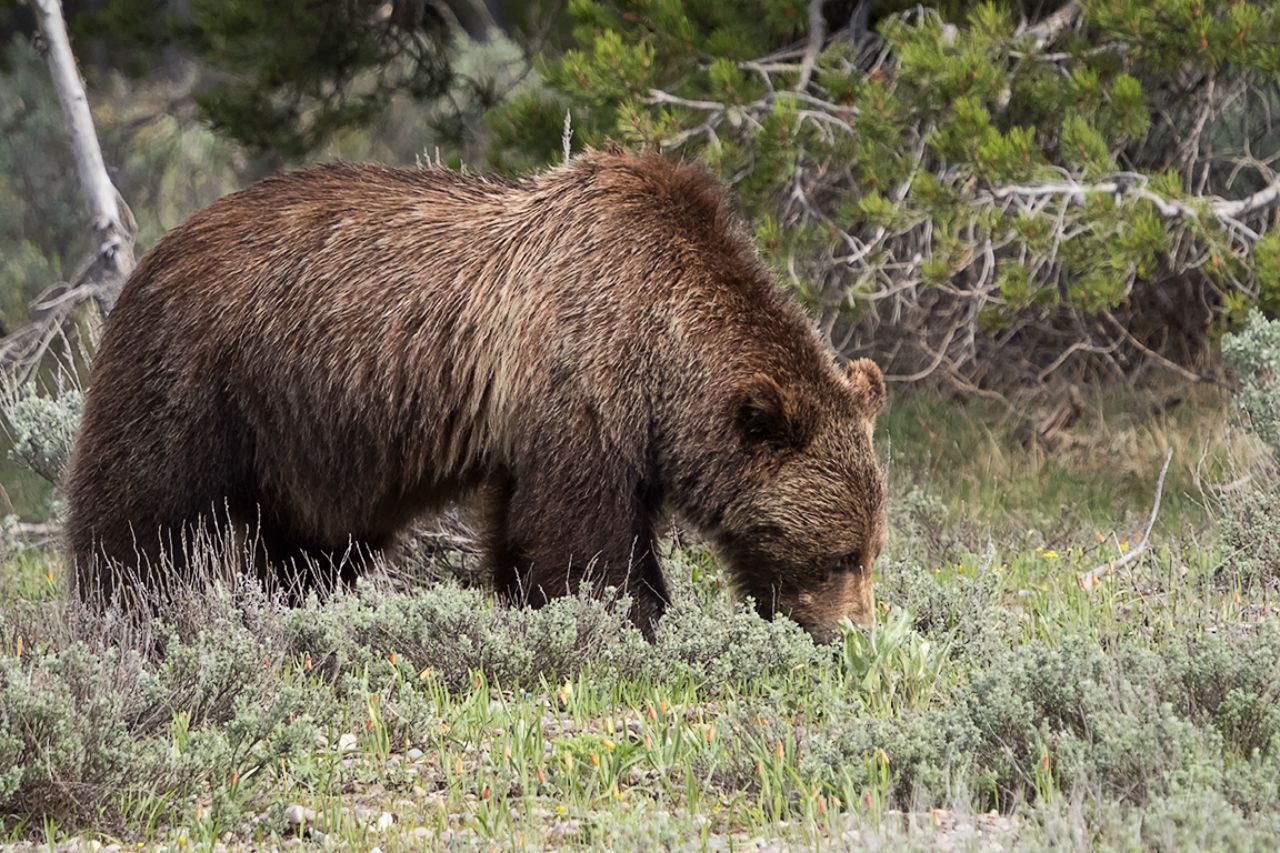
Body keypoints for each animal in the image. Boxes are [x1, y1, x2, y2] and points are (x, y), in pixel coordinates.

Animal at [66, 149, 887, 641]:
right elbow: (581, 535)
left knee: (308, 548)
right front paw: (627, 617)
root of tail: (159, 248)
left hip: (298, 439)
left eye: (873, 549)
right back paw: (125, 616)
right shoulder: (581, 382)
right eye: (841, 555)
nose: (855, 632)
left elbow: (524, 527)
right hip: (200, 379)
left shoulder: (573, 422)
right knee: (143, 513)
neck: (663, 346)